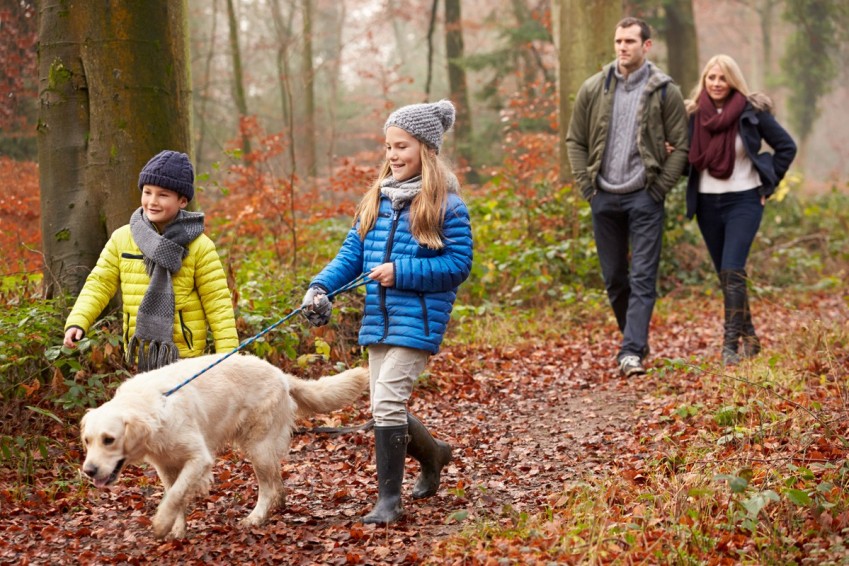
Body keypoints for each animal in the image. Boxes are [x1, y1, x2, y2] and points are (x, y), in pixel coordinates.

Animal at [79, 356, 368, 540]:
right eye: (87, 440)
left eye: (109, 439)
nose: (88, 471)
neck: (155, 408)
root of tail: (280, 374)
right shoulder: (166, 467)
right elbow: (175, 496)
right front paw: (177, 529)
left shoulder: (199, 459)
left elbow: (176, 494)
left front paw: (161, 524)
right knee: (277, 483)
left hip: (258, 447)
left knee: (268, 488)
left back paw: (256, 518)